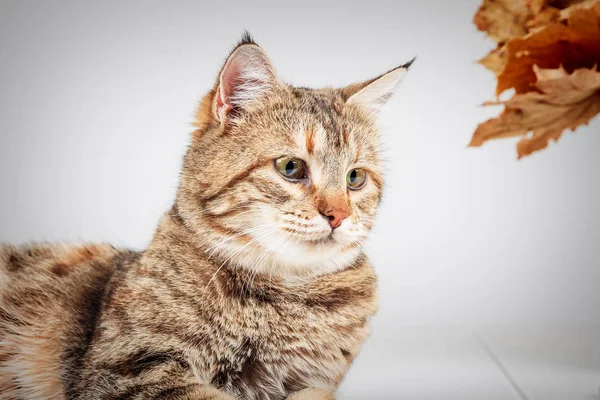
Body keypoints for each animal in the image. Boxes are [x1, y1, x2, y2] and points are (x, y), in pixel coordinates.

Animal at [0, 32, 412, 398]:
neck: (289, 292)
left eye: (355, 177)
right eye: (291, 167)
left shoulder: (317, 377)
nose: (338, 215)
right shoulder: (122, 369)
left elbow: (315, 392)